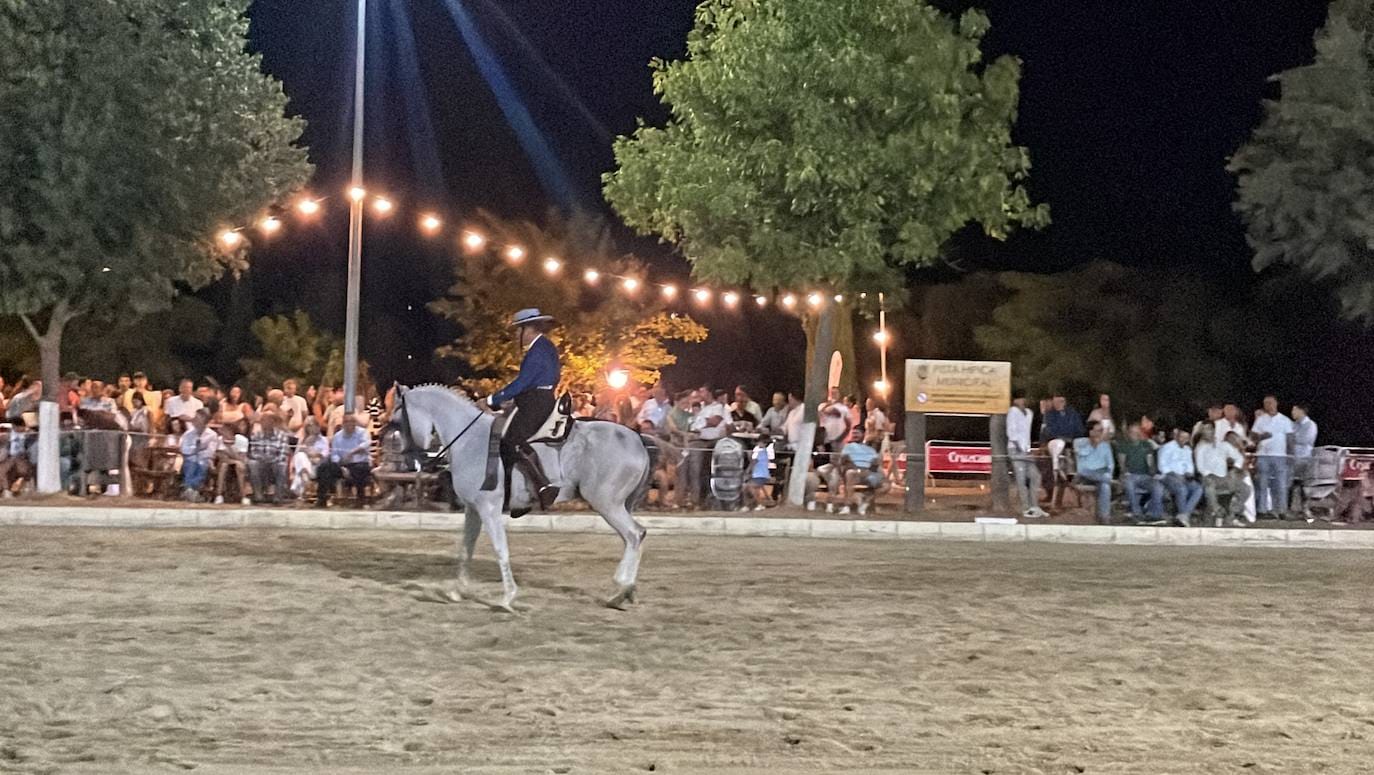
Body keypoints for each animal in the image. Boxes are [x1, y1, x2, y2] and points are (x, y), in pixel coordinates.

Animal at [395, 384, 656, 607]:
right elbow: (465, 549)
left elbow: (500, 549)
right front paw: (457, 590)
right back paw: (624, 591)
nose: (409, 462)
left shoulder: (488, 507)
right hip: (618, 505)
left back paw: (621, 590)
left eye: (397, 421)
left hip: (607, 504)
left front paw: (508, 597)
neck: (470, 439)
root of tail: (637, 439)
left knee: (634, 535)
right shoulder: (473, 509)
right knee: (633, 538)